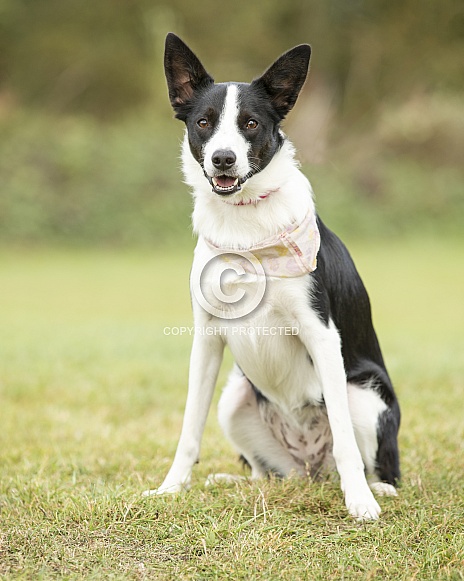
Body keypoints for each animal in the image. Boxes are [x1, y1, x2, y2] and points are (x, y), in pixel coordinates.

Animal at [147, 32, 400, 520]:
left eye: (250, 124)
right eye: (204, 122)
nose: (223, 159)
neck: (245, 227)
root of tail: (311, 467)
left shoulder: (321, 334)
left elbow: (345, 441)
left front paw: (359, 503)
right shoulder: (207, 338)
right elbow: (189, 429)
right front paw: (171, 489)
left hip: (362, 395)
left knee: (370, 461)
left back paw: (375, 488)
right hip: (234, 399)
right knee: (269, 473)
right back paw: (236, 480)